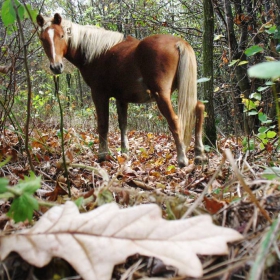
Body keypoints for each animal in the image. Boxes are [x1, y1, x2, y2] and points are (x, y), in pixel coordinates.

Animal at [36, 13, 206, 166]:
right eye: (43, 39)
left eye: (62, 35)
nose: (56, 67)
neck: (97, 52)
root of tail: (179, 42)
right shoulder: (122, 98)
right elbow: (123, 123)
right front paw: (125, 152)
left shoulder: (99, 94)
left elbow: (103, 124)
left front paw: (102, 155)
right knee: (199, 108)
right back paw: (199, 154)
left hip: (161, 95)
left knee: (175, 120)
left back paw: (182, 158)